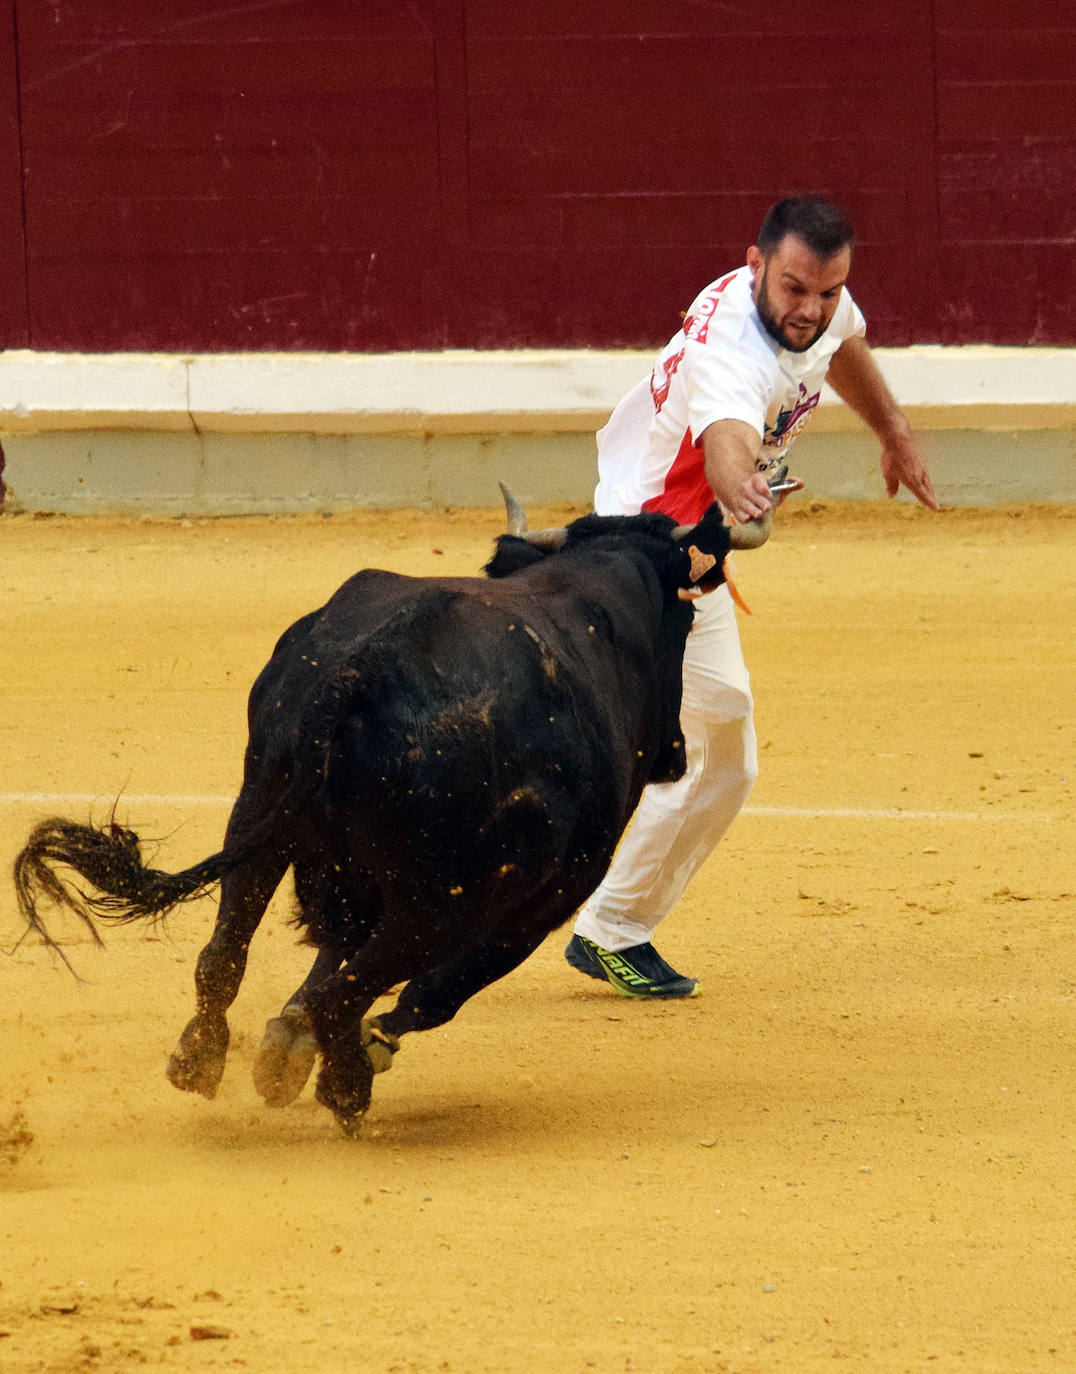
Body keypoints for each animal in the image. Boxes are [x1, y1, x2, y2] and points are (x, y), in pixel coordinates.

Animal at [10, 500, 764, 1132]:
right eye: (687, 617)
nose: (674, 754)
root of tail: (361, 671)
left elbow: (327, 967)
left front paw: (287, 1044)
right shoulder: (540, 902)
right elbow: (434, 993)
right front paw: (358, 1050)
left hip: (258, 810)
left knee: (225, 955)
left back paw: (203, 1060)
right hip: (442, 900)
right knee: (353, 989)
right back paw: (346, 1087)